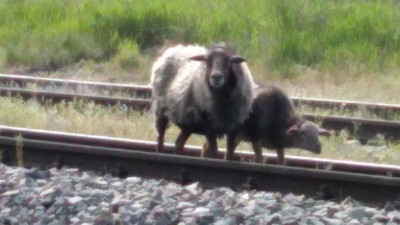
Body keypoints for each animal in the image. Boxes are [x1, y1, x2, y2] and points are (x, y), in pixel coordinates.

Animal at [203, 83, 332, 164]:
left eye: (318, 134)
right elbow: (259, 159)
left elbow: (282, 162)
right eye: (303, 134)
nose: (319, 148)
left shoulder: (279, 144)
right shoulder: (256, 138)